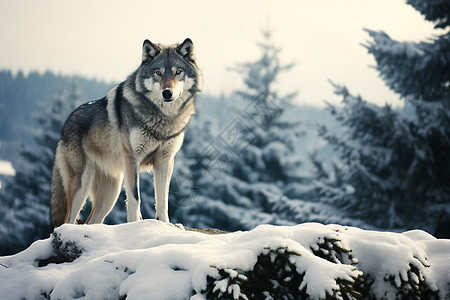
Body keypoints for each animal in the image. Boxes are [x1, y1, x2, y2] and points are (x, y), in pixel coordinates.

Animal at [50, 38, 202, 227]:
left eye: (178, 72)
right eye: (158, 73)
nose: (167, 93)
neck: (163, 119)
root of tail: (65, 125)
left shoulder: (165, 161)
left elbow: (162, 200)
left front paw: (166, 225)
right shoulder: (132, 158)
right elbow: (135, 197)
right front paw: (134, 224)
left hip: (111, 192)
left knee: (91, 222)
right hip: (82, 186)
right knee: (67, 221)